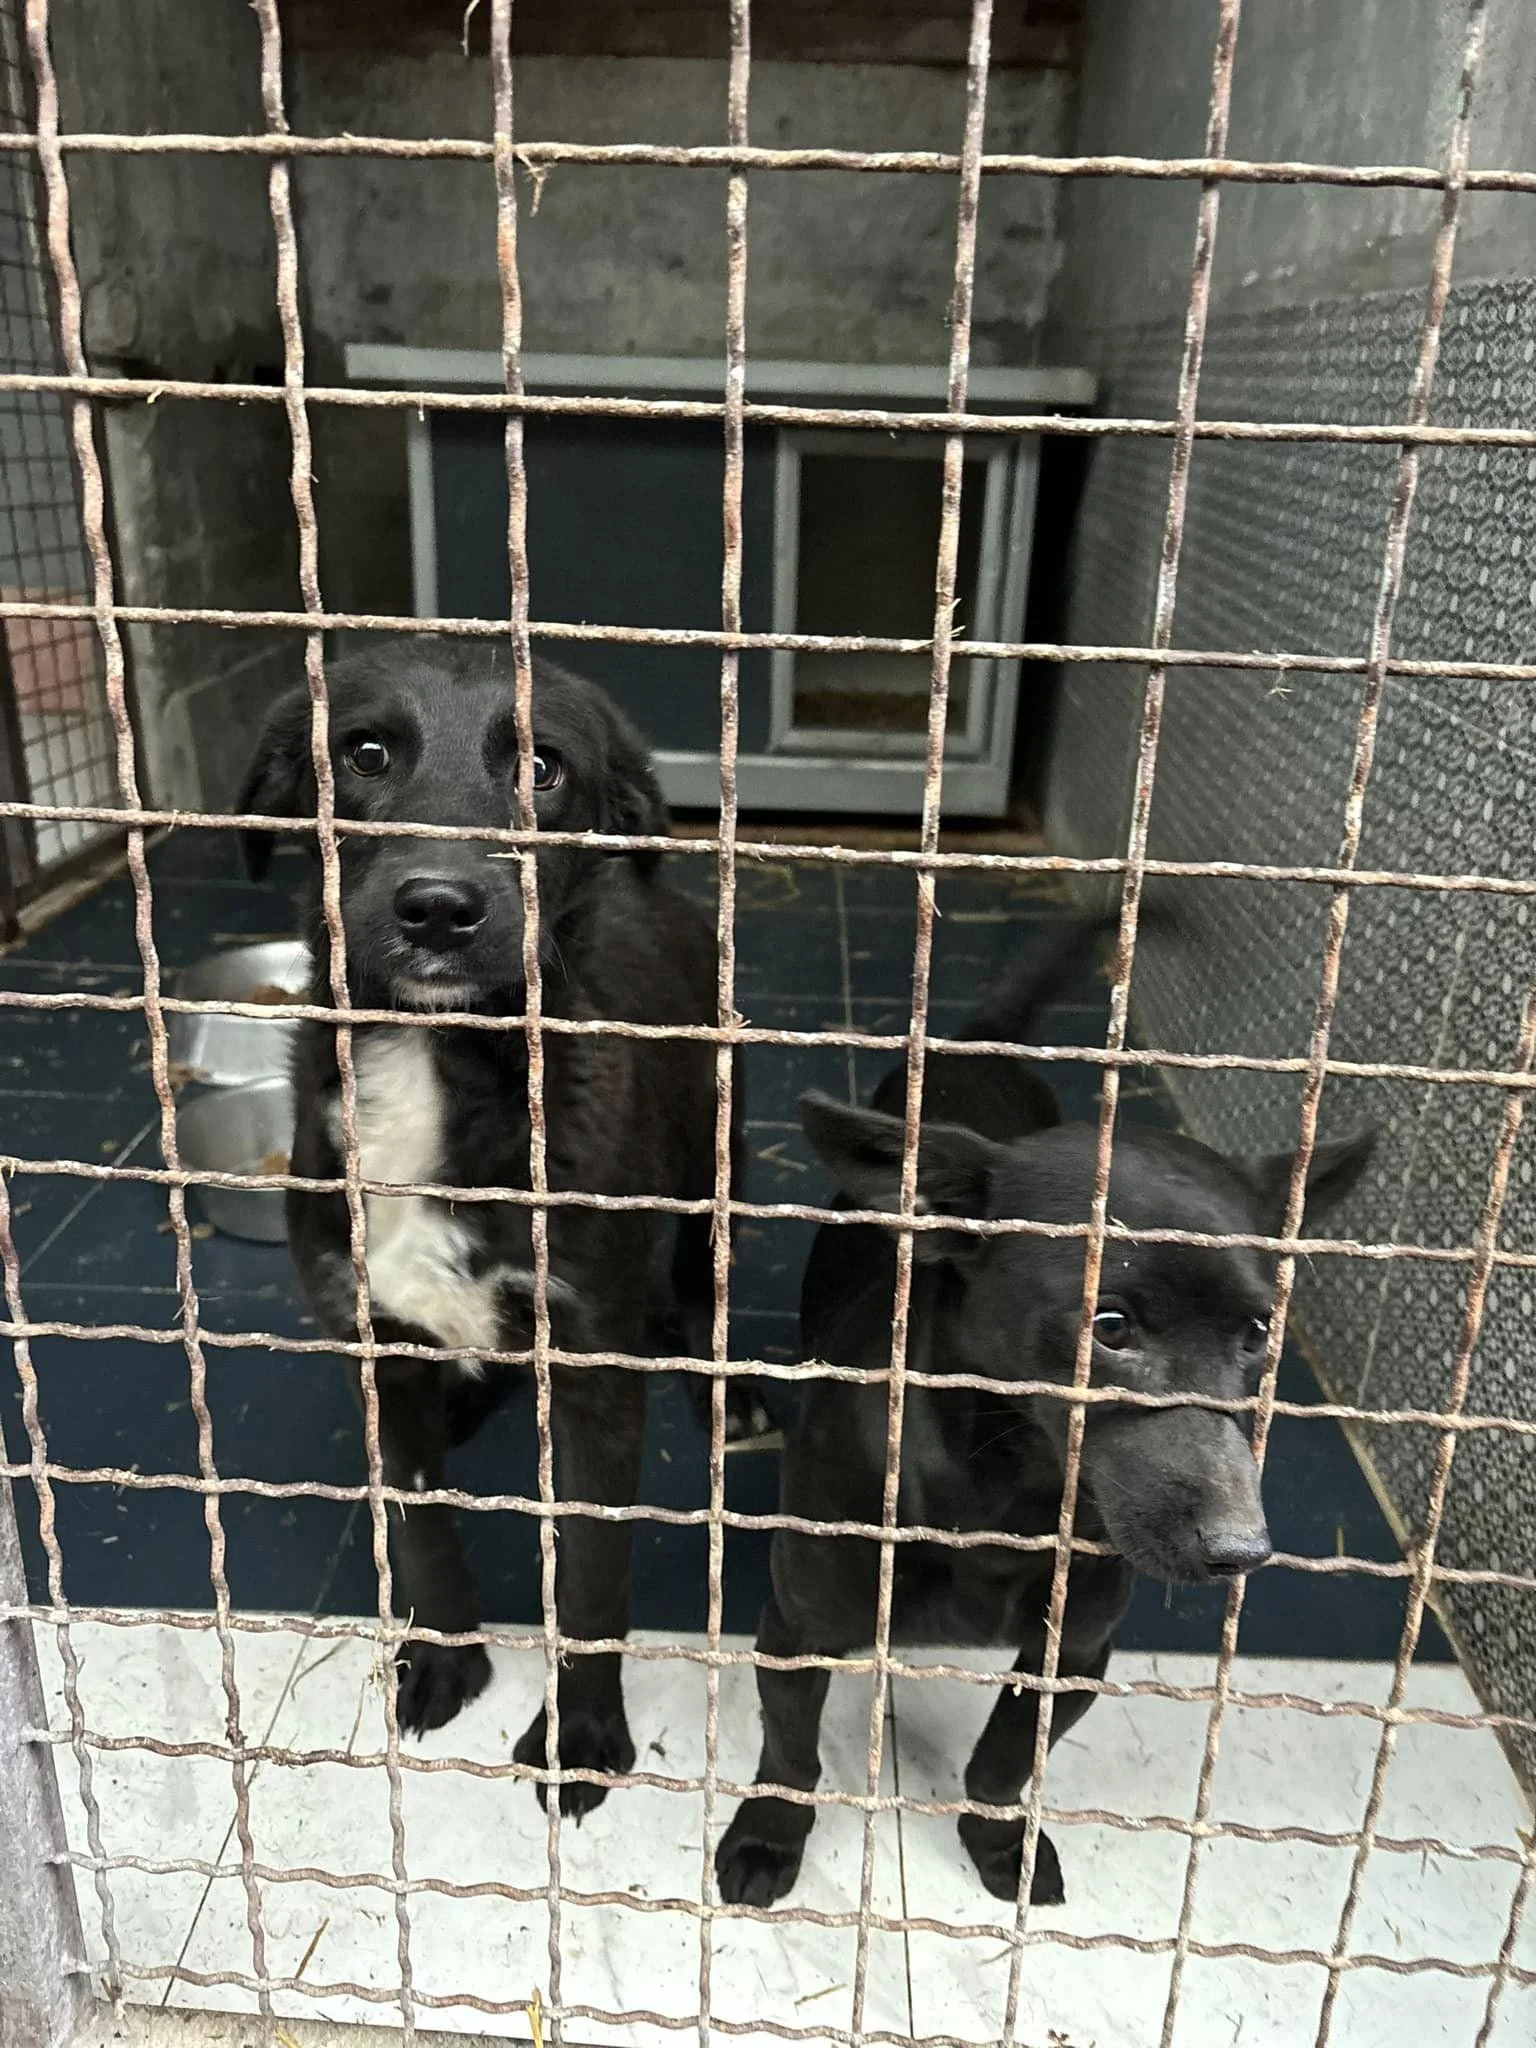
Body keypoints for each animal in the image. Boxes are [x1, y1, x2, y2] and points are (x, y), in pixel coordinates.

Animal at [238, 634, 754, 1802]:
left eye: (545, 768)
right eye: (364, 752)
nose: (439, 906)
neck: (441, 1070)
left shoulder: (599, 1371)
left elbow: (595, 1572)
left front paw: (584, 1730)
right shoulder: (376, 1346)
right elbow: (423, 1529)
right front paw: (446, 1659)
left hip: (719, 1161)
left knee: (701, 1285)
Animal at [714, 924, 1375, 1906]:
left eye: (1260, 1332)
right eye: (1111, 1325)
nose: (1240, 1551)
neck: (1006, 1491)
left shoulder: (1073, 1656)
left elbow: (1003, 1761)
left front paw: (1000, 1847)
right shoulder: (798, 1628)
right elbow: (790, 1755)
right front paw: (768, 1836)